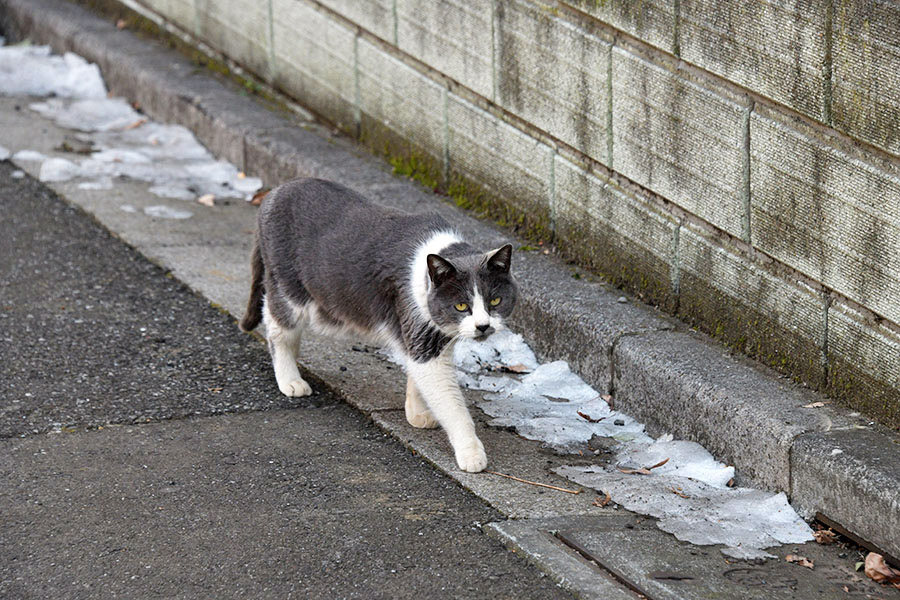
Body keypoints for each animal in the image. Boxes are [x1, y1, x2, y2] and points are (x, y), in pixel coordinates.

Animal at [241, 178, 520, 474]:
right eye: (461, 306)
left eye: (495, 300)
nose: (483, 326)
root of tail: (274, 193)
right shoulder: (421, 331)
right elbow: (450, 401)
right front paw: (471, 452)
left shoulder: (424, 333)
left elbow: (416, 373)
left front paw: (417, 413)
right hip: (289, 286)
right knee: (277, 326)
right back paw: (290, 379)